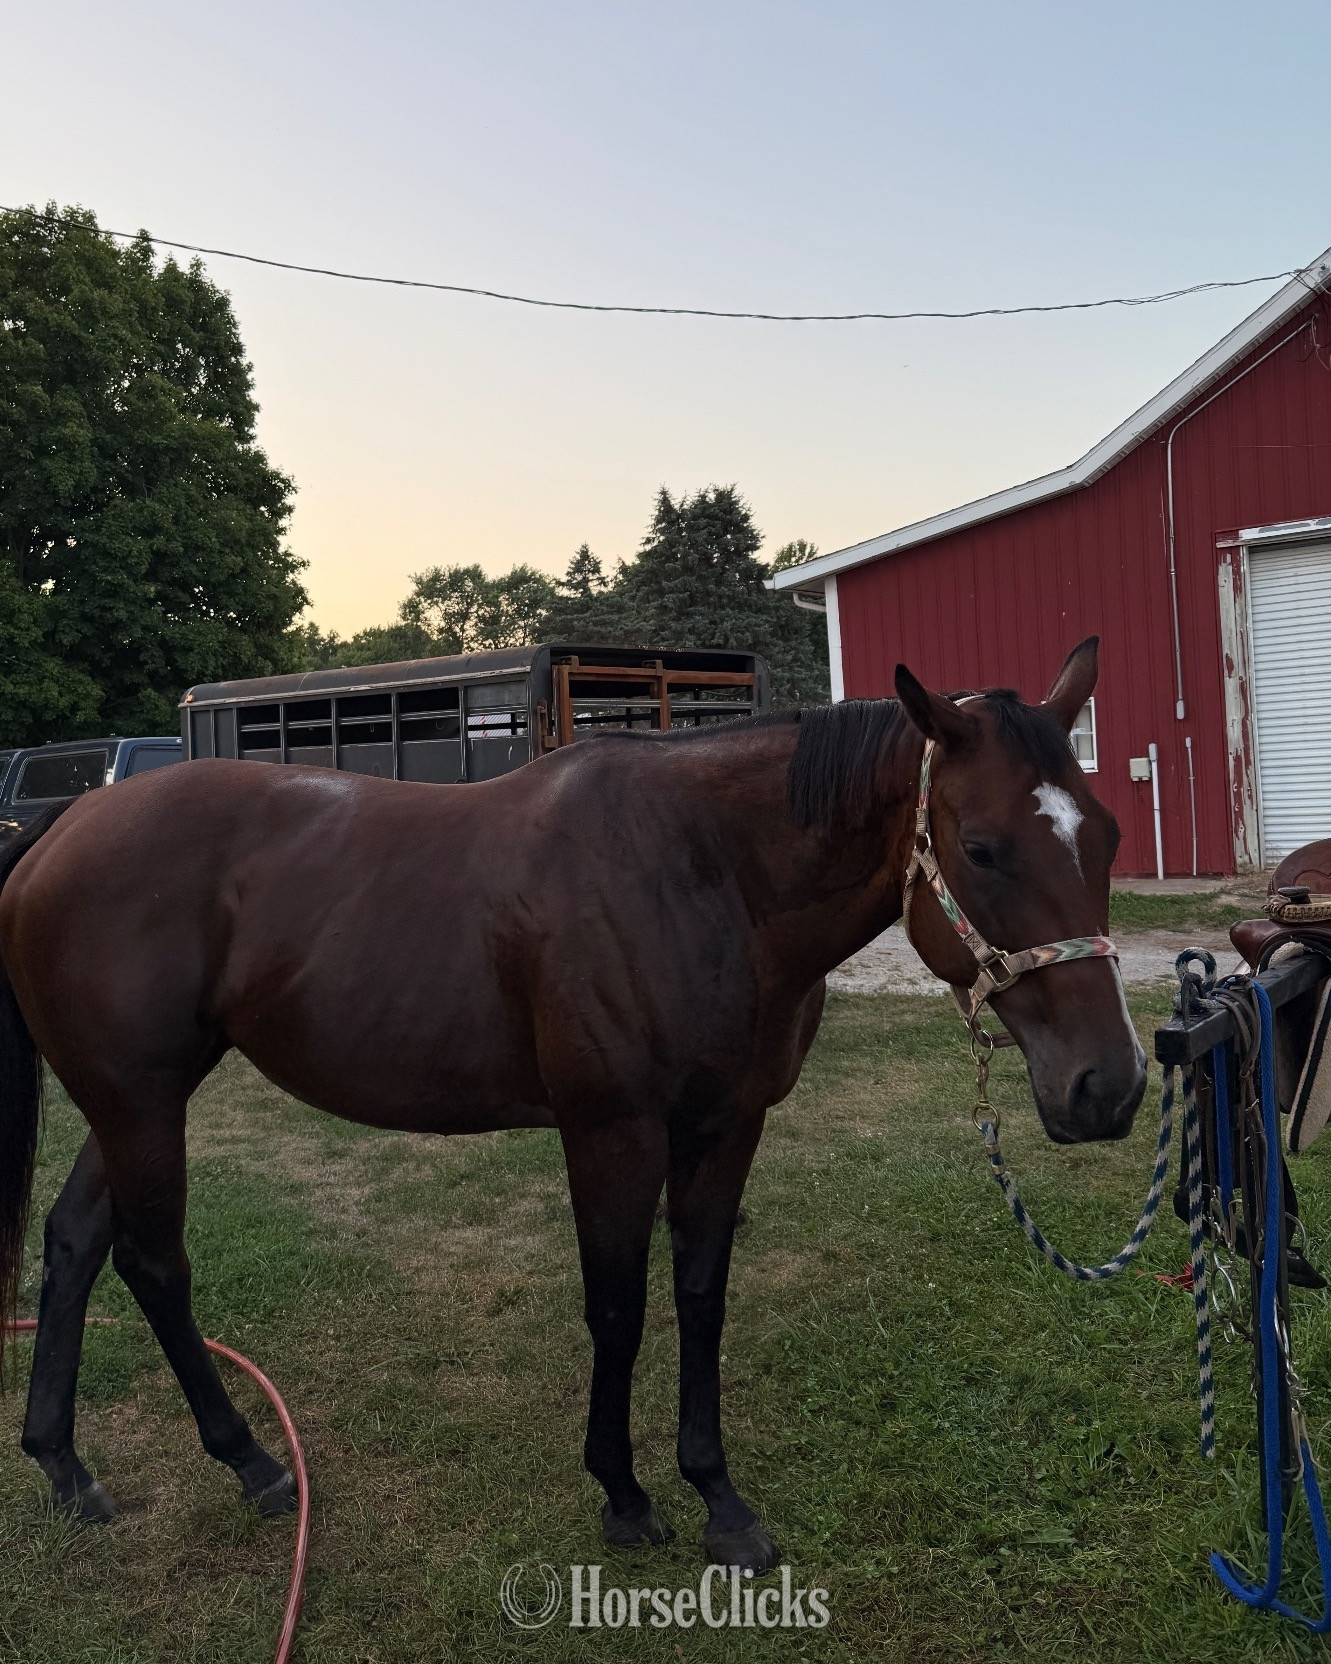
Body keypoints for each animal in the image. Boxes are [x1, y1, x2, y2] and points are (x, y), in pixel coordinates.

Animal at [0, 638, 1146, 1574]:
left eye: (1104, 833)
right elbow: (618, 1305)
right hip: (141, 1102)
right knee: (153, 1263)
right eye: (982, 847)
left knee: (75, 1240)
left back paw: (64, 1465)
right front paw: (625, 1495)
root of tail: (65, 823)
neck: (701, 872)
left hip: (135, 1101)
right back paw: (251, 1461)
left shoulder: (727, 1124)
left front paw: (718, 1498)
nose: (1108, 1086)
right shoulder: (613, 1131)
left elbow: (698, 1294)